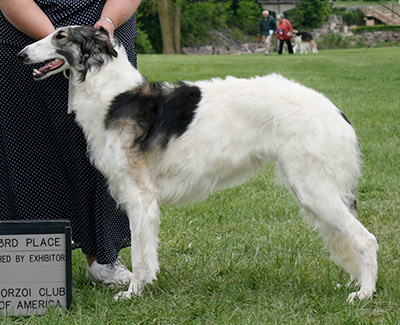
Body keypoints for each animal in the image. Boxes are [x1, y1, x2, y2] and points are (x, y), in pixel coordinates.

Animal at [18, 25, 376, 302]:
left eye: (60, 36)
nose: (21, 54)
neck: (113, 97)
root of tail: (335, 111)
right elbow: (147, 254)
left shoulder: (140, 196)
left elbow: (140, 255)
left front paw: (133, 293)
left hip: (314, 189)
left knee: (366, 240)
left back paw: (364, 293)